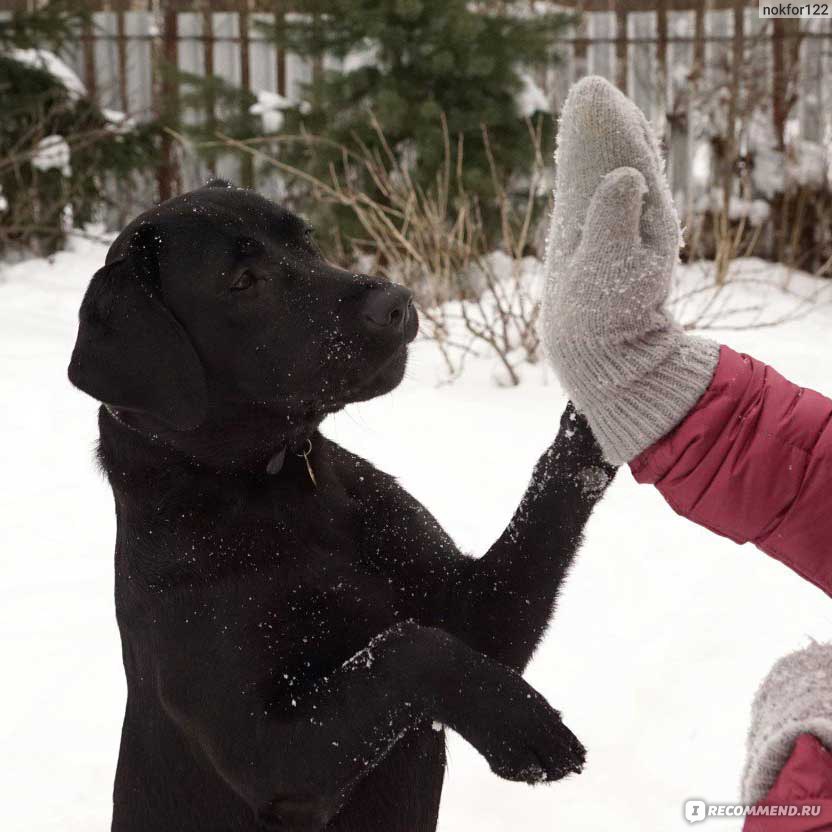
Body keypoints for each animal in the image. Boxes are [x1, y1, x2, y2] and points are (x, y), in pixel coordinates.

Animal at [68, 184, 616, 832]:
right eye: (241, 281)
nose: (396, 303)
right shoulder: (268, 755)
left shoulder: (479, 614)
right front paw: (522, 725)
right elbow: (408, 648)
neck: (284, 489)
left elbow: (543, 511)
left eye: (307, 240)